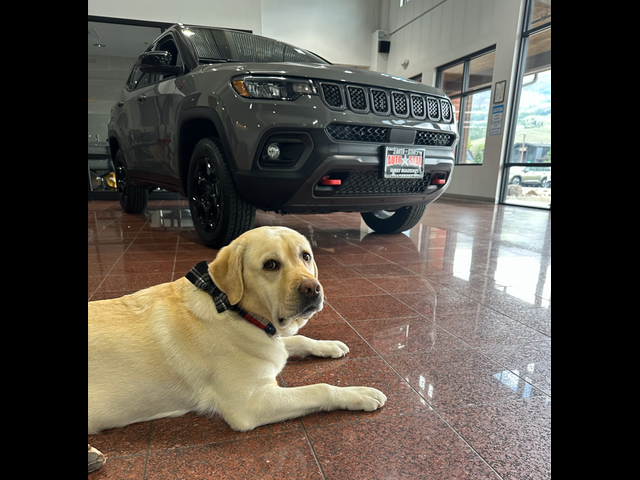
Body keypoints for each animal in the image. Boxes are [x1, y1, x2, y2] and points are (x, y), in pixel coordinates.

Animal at [88, 229, 388, 462]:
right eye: (270, 265)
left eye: (306, 256)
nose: (313, 288)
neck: (237, 311)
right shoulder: (250, 404)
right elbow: (319, 388)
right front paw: (359, 393)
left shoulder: (275, 343)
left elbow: (297, 339)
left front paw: (328, 345)